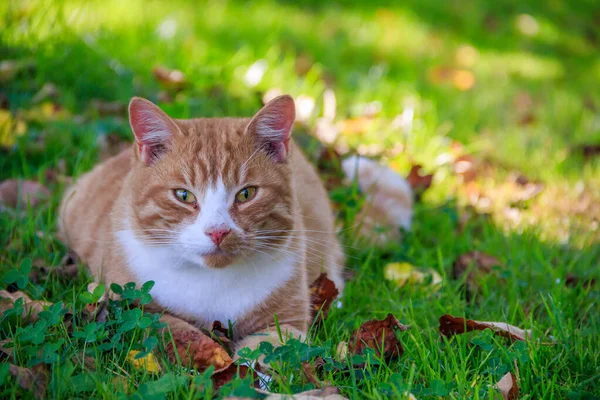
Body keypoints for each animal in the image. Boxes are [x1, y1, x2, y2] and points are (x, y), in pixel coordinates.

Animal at [59, 94, 346, 366]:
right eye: (183, 195)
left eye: (246, 194)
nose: (217, 232)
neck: (213, 283)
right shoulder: (135, 307)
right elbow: (169, 328)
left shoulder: (288, 321)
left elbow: (270, 348)